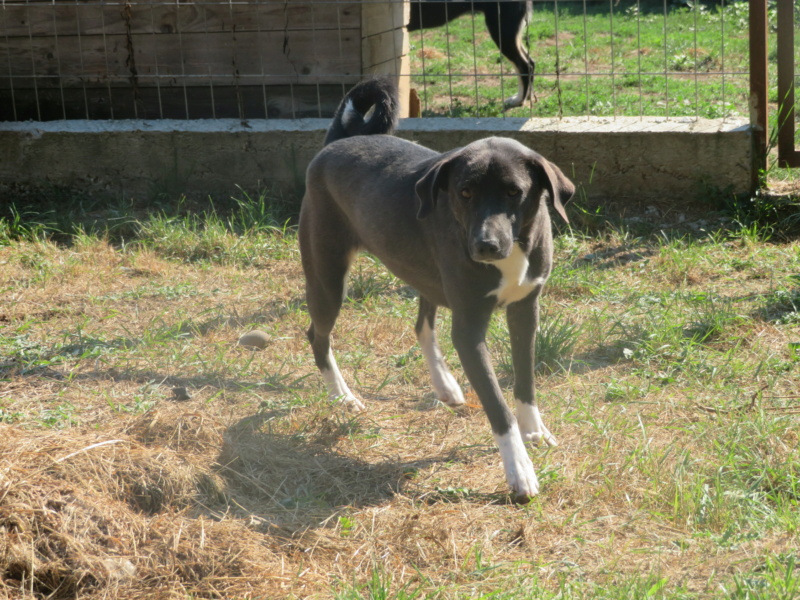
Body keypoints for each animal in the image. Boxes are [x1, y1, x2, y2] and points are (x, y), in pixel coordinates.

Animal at [300, 78, 576, 502]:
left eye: (514, 192)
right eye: (464, 192)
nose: (484, 246)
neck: (512, 252)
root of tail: (335, 143)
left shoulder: (525, 310)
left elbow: (525, 381)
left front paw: (534, 431)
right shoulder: (468, 329)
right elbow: (498, 406)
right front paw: (520, 470)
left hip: (425, 273)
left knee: (421, 325)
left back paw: (445, 385)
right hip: (328, 278)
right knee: (317, 334)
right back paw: (342, 396)